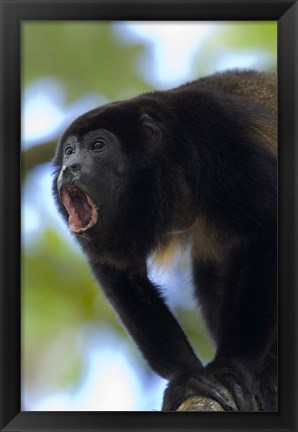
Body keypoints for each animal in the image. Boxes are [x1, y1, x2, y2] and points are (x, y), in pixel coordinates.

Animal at [51, 70, 278, 412]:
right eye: (69, 151)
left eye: (98, 145)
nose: (69, 169)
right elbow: (120, 271)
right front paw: (186, 378)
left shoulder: (219, 134)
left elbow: (264, 226)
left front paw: (234, 367)